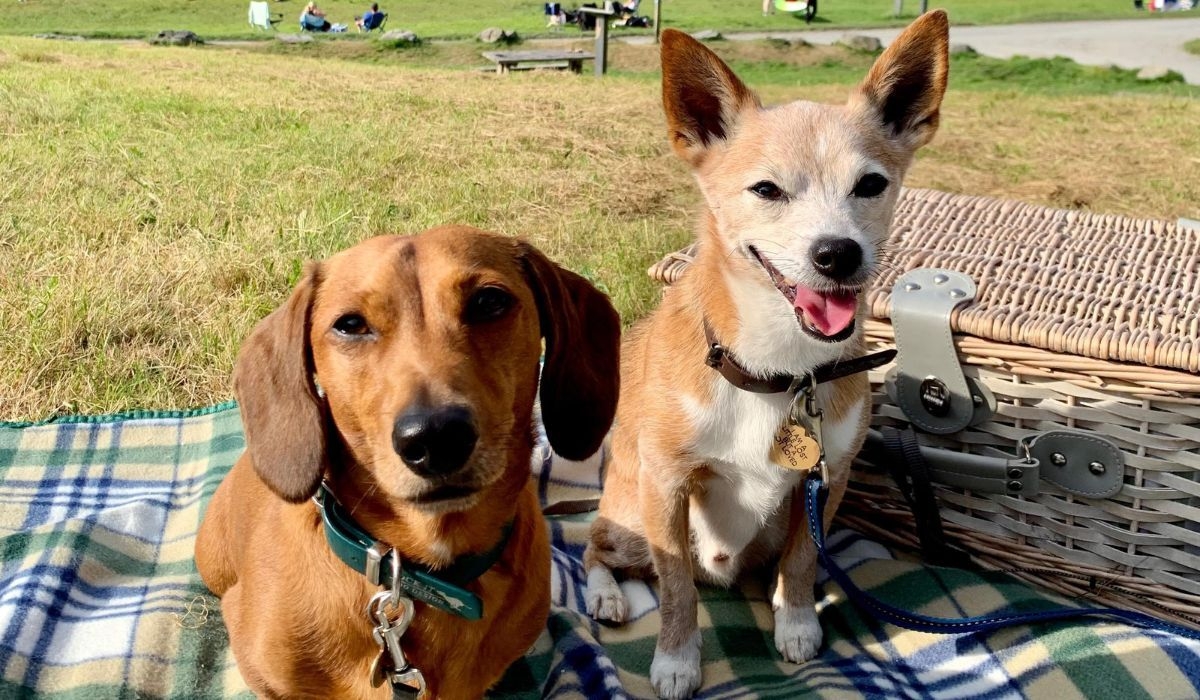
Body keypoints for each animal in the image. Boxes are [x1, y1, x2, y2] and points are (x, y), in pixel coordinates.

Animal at [578, 12, 945, 700]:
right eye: (767, 190)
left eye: (871, 185)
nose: (838, 253)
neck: (778, 372)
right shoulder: (666, 487)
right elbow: (675, 586)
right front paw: (676, 660)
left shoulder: (825, 479)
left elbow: (803, 559)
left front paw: (797, 621)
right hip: (629, 515)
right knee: (595, 548)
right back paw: (606, 596)